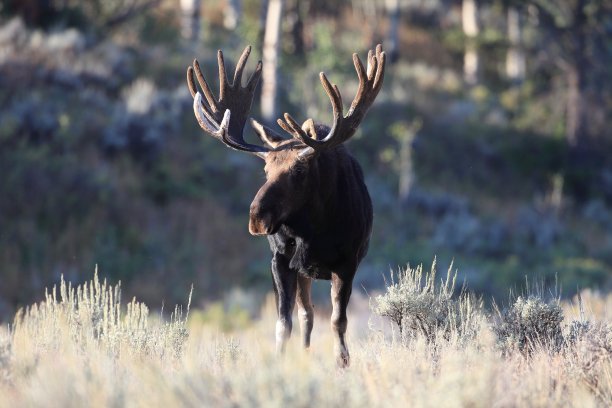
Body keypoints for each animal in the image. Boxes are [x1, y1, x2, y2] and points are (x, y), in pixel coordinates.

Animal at [188, 44, 388, 366]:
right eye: (265, 168)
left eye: (299, 170)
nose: (256, 217)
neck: (314, 231)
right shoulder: (280, 260)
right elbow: (284, 323)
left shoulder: (347, 263)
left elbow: (338, 322)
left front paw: (342, 363)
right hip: (302, 271)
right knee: (306, 315)